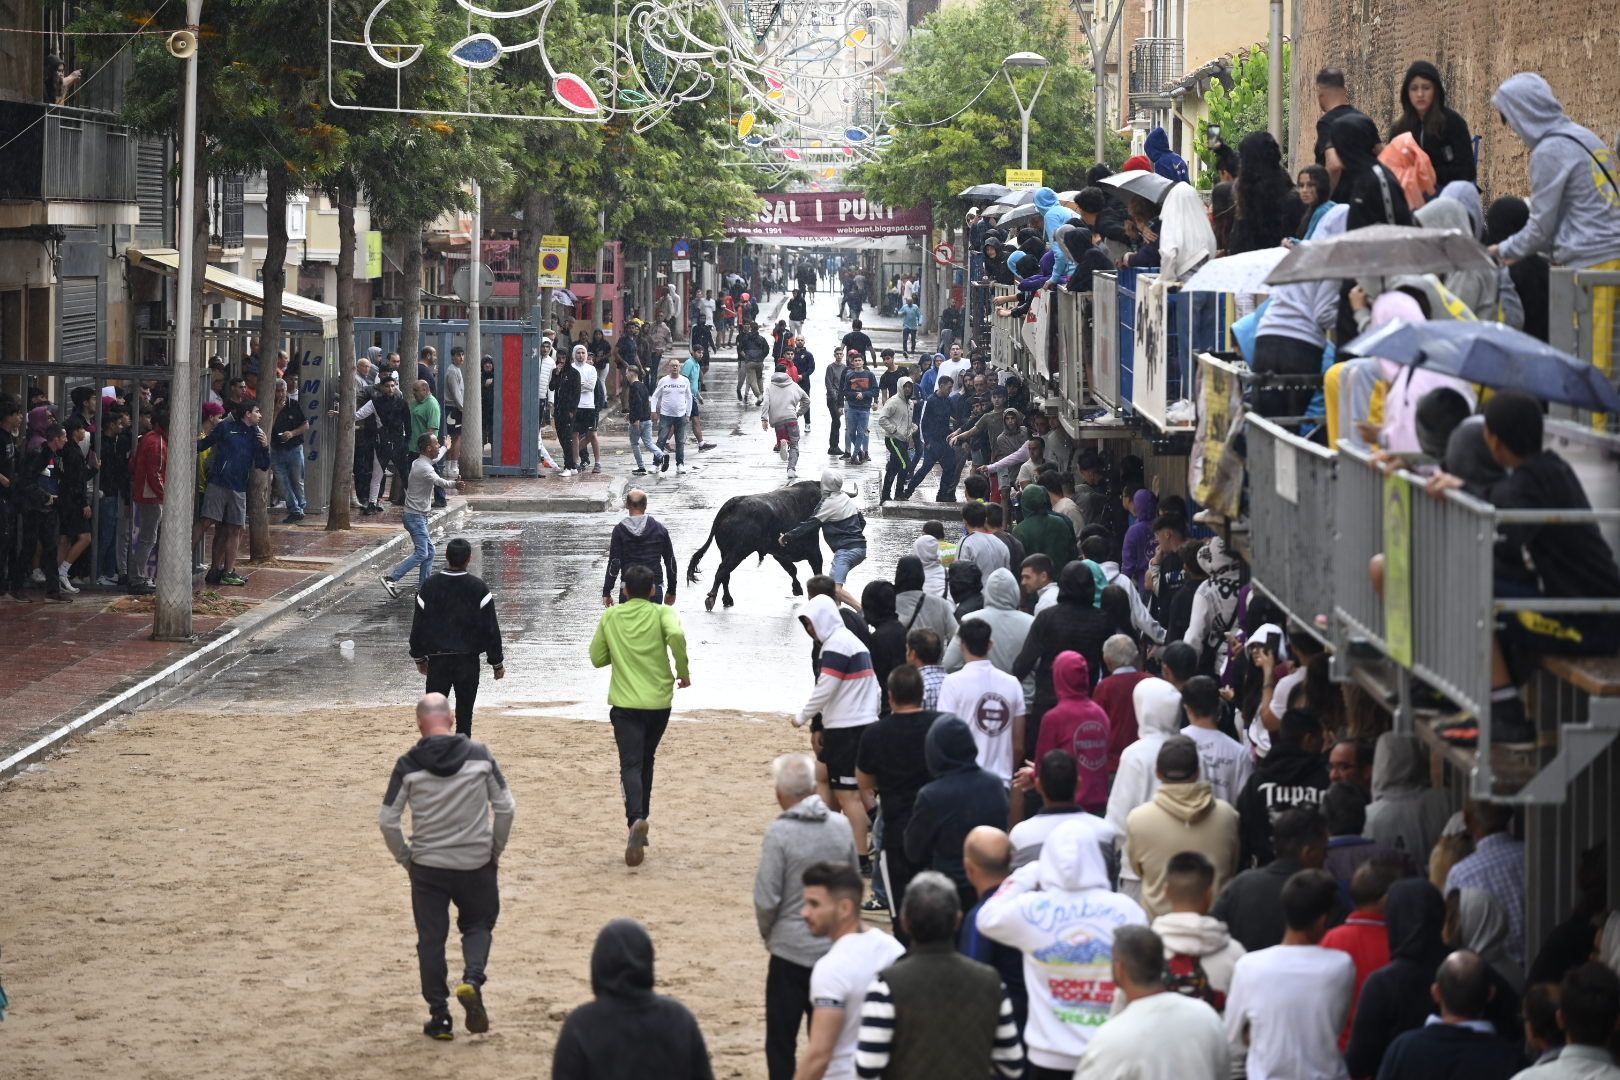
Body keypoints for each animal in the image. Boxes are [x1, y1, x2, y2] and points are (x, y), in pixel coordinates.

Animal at [690, 485, 829, 612]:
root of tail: (733, 504)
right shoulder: (812, 550)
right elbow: (814, 568)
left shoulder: (779, 553)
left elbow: (792, 569)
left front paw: (797, 589)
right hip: (738, 552)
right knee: (722, 571)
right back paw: (711, 598)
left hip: (725, 552)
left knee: (726, 574)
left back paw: (727, 600)